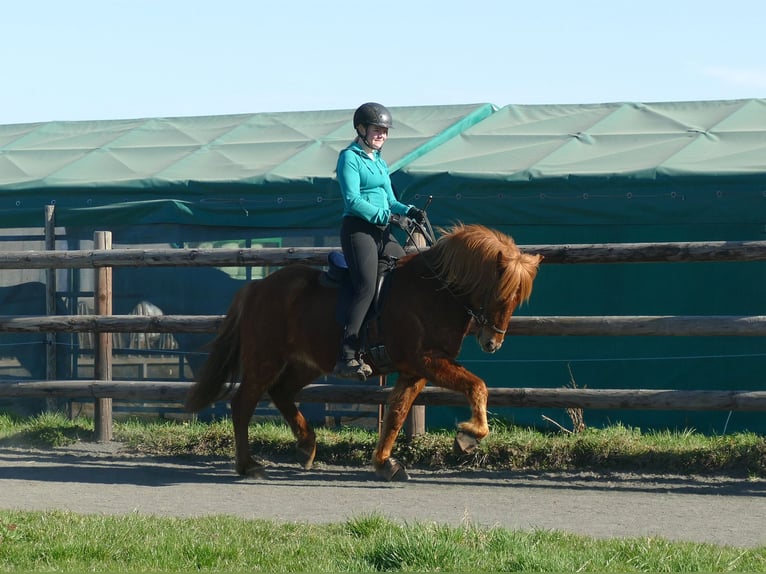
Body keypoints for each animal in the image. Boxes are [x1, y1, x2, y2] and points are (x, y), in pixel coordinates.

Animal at [184, 223, 542, 481]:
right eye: (500, 294)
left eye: (517, 299)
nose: (492, 343)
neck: (434, 292)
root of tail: (257, 287)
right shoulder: (426, 361)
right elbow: (477, 386)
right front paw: (469, 436)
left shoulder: (414, 371)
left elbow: (396, 414)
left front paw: (385, 463)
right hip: (265, 360)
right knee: (243, 404)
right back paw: (249, 465)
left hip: (307, 363)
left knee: (281, 392)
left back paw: (307, 446)